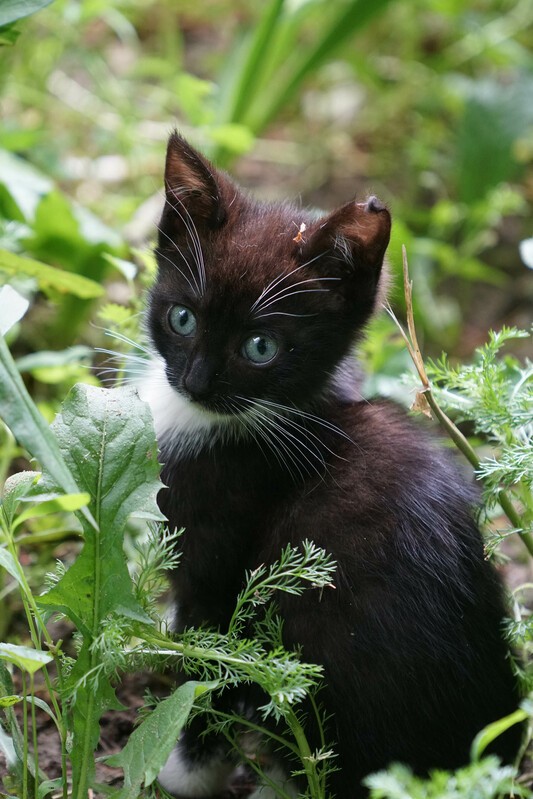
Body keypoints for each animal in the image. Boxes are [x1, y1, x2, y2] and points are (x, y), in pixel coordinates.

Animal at [139, 134, 520, 796]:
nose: (196, 383)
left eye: (261, 347)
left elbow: (211, 672)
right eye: (181, 318)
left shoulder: (224, 571)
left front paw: (182, 771)